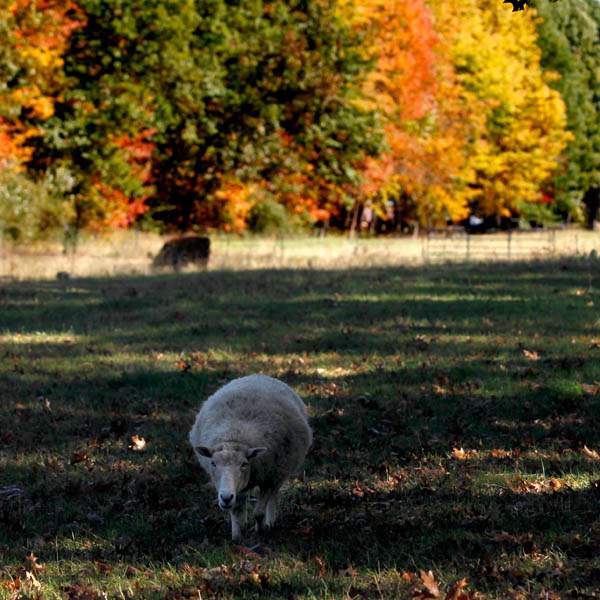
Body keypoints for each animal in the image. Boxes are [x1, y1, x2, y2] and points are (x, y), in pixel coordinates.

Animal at [189, 372, 312, 540]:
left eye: (244, 464)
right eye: (213, 463)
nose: (225, 497)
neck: (234, 437)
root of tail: (259, 375)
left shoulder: (269, 477)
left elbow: (259, 513)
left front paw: (260, 532)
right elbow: (235, 510)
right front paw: (237, 537)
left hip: (280, 471)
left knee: (274, 495)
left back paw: (270, 523)